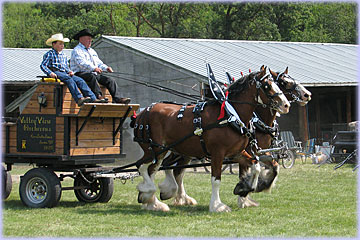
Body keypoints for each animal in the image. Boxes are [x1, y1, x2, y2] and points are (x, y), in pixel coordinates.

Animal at [132, 67, 290, 212]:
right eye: (267, 86)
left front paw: (244, 188)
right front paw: (218, 205)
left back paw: (153, 202)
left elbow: (257, 167)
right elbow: (216, 180)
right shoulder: (217, 153)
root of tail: (142, 113)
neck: (231, 115)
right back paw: (149, 192)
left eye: (278, 84)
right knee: (143, 166)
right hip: (155, 149)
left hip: (166, 151)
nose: (286, 105)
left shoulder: (238, 152)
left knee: (155, 170)